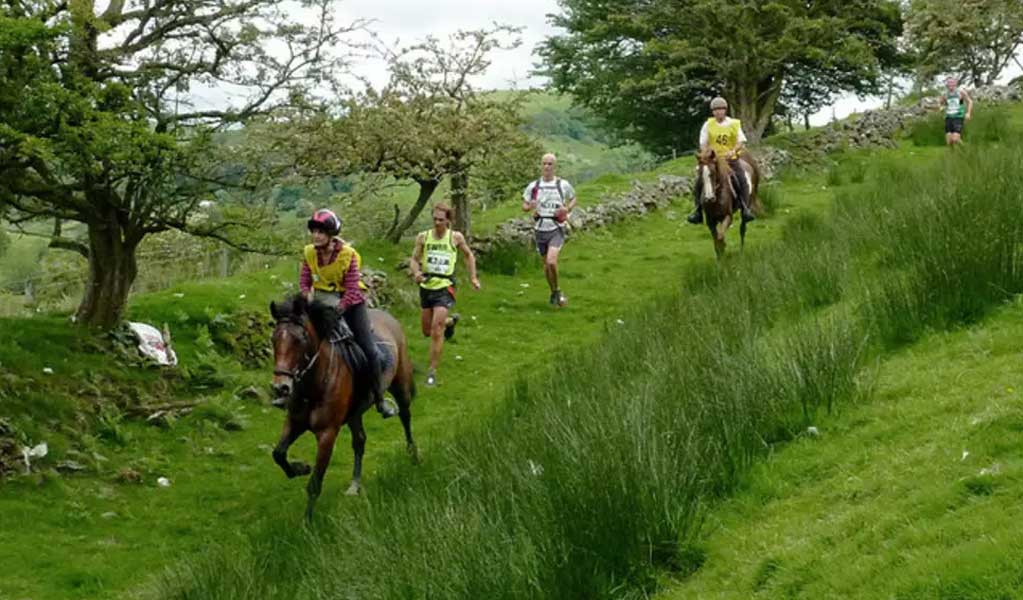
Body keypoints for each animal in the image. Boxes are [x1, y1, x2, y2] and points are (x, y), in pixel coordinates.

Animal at [272, 296, 419, 521]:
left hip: (400, 384)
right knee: (359, 441)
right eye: (274, 340)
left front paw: (307, 522)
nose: (281, 387)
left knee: (405, 416)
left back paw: (413, 454)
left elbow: (314, 484)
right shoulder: (295, 422)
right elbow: (278, 454)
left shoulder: (327, 433)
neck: (313, 386)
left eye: (300, 340)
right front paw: (300, 468)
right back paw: (355, 485)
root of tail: (388, 317)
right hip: (354, 413)